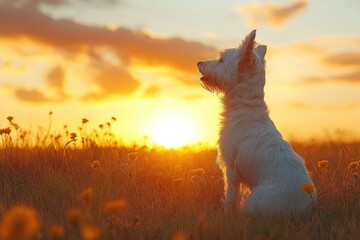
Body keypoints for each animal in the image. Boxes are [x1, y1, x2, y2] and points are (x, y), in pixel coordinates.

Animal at [197, 29, 316, 214]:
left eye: (222, 59)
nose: (199, 63)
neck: (246, 107)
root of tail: (307, 205)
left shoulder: (231, 167)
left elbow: (231, 193)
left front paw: (227, 210)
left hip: (256, 200)